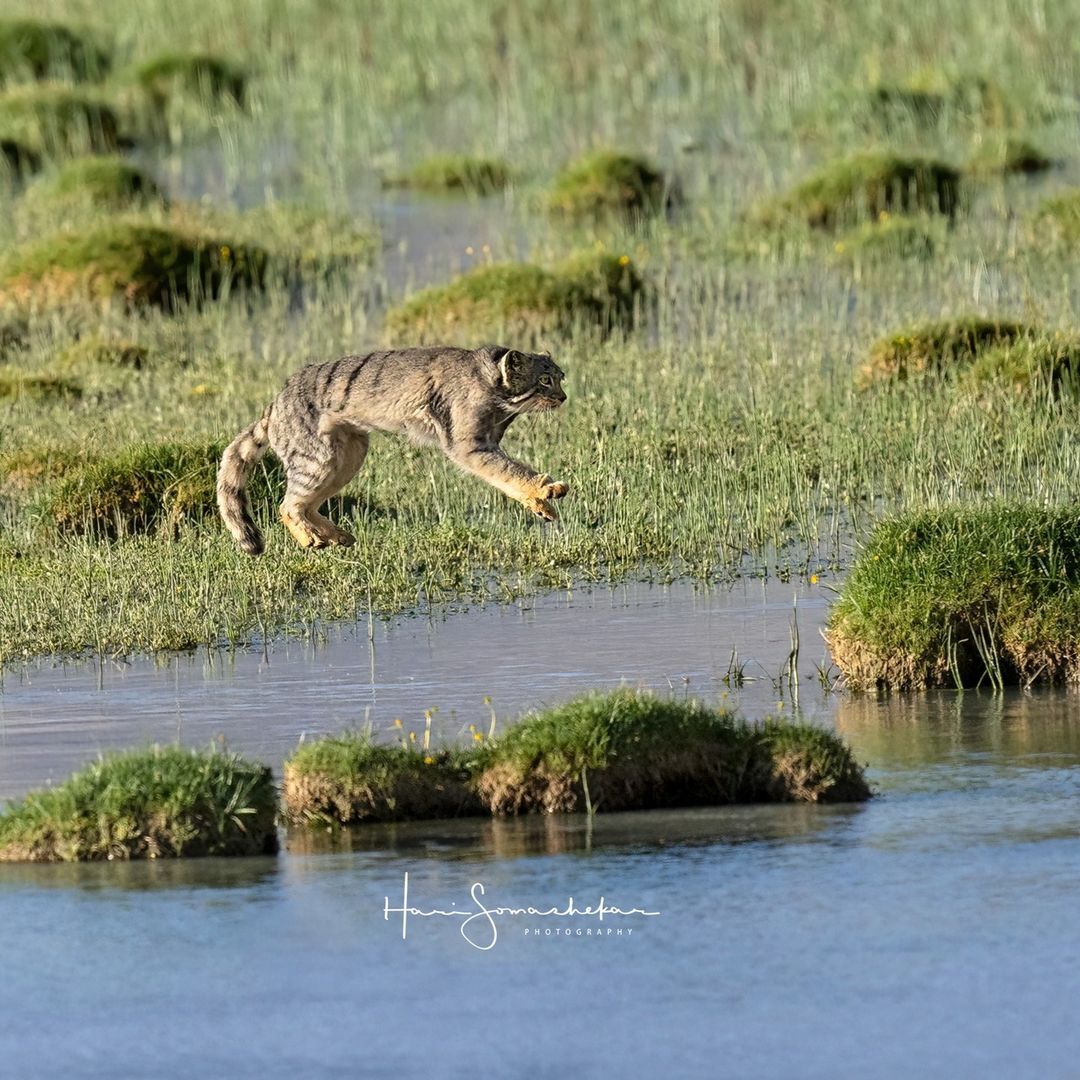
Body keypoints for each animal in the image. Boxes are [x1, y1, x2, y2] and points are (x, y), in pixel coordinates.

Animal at [216, 343, 570, 557]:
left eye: (561, 377)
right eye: (545, 381)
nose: (564, 397)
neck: (492, 384)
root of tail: (275, 404)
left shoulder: (487, 443)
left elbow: (510, 473)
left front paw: (541, 502)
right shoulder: (469, 445)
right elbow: (511, 472)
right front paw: (543, 491)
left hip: (348, 456)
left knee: (307, 503)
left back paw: (336, 535)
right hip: (315, 459)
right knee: (288, 505)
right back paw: (310, 537)